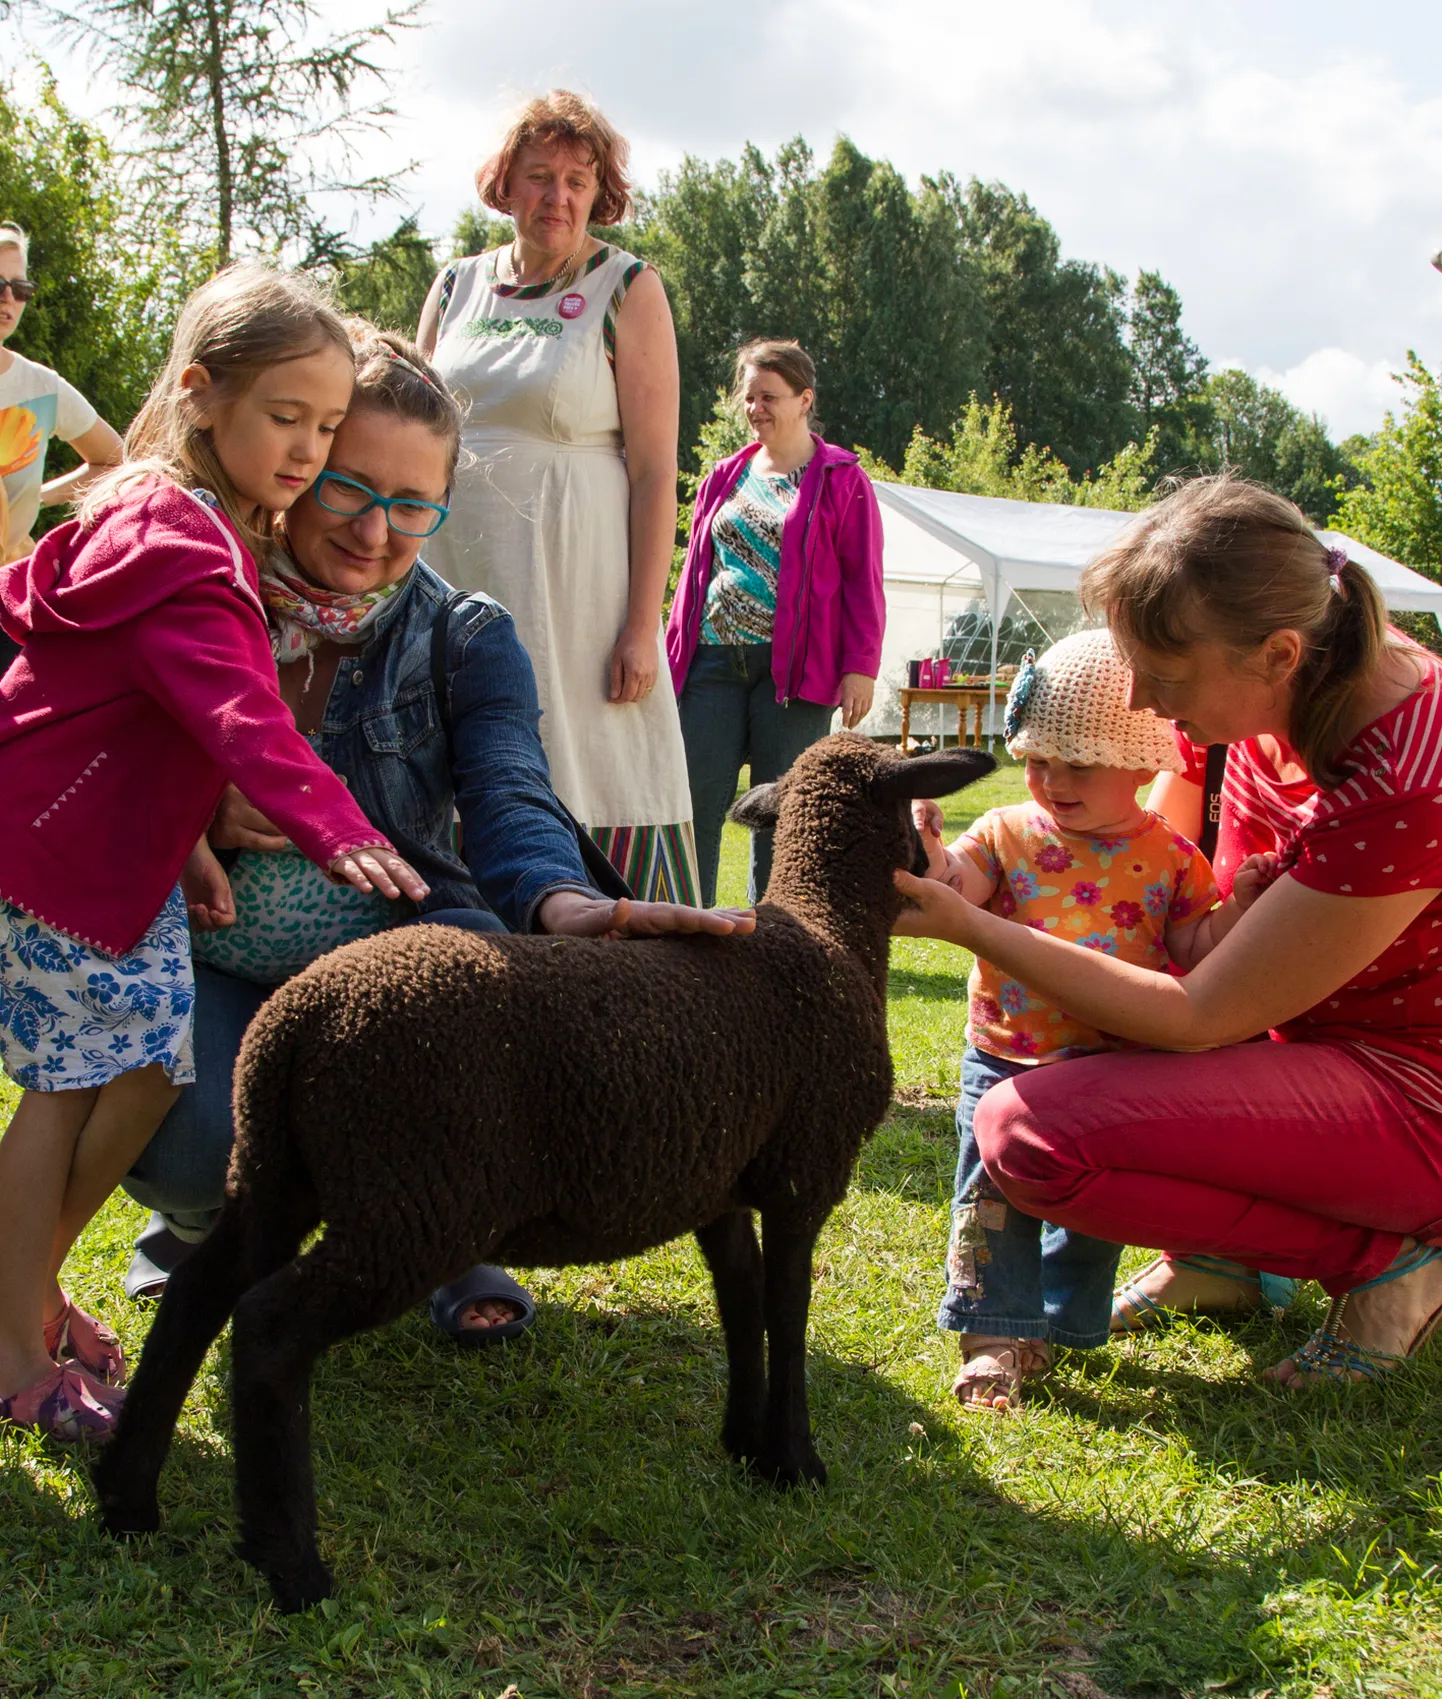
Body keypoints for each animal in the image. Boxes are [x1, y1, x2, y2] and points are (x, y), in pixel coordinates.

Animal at [95, 733, 998, 1603]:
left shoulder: (720, 1184)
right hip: (413, 1199)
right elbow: (787, 1312)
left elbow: (742, 1304)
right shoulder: (805, 1172)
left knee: (198, 1294)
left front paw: (744, 1442)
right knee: (269, 1324)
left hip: (277, 1173)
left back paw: (128, 1499)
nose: (935, 869)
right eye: (917, 814)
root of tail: (295, 1019)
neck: (827, 931)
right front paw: (796, 1460)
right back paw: (292, 1568)